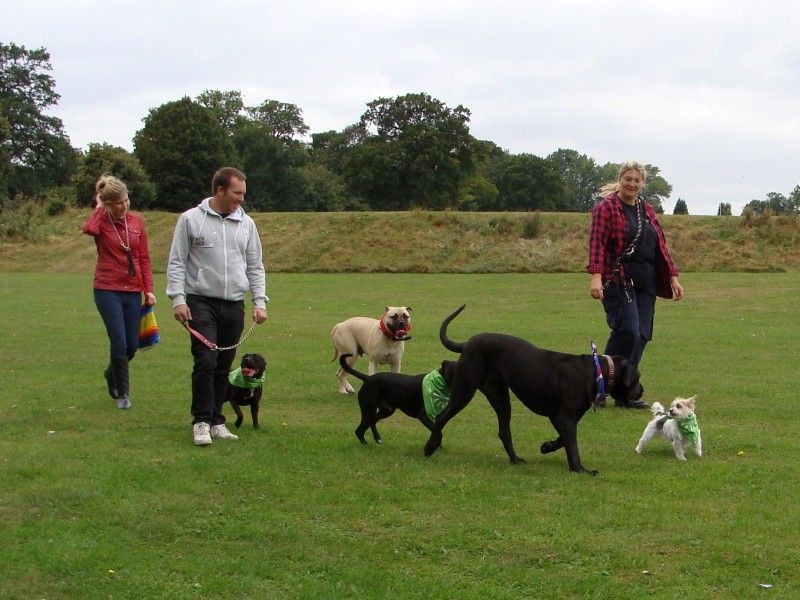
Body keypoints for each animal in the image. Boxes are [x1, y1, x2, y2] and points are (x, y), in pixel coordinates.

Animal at [424, 308, 644, 476]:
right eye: (637, 378)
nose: (642, 391)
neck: (597, 371)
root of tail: (468, 343)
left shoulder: (559, 417)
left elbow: (563, 440)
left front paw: (547, 446)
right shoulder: (565, 418)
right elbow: (572, 446)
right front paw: (580, 469)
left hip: (499, 396)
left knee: (504, 430)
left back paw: (515, 459)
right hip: (465, 389)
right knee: (441, 417)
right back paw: (430, 447)